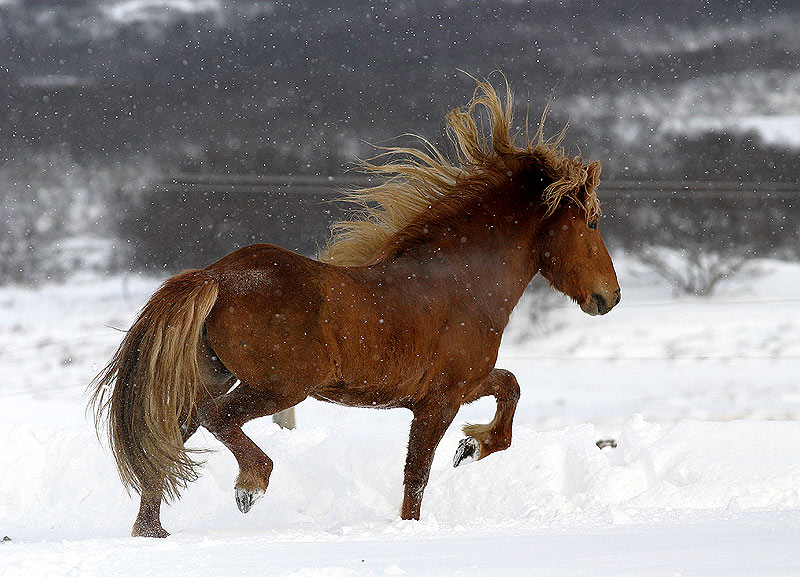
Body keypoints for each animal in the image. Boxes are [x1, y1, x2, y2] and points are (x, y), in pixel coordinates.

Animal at [90, 76, 620, 536]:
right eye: (592, 222)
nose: (609, 297)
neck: (462, 282)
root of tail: (216, 276)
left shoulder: (460, 386)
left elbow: (508, 387)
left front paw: (472, 446)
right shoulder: (440, 399)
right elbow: (417, 477)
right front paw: (430, 499)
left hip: (215, 376)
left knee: (170, 438)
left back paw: (152, 531)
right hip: (281, 386)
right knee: (216, 419)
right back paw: (251, 484)